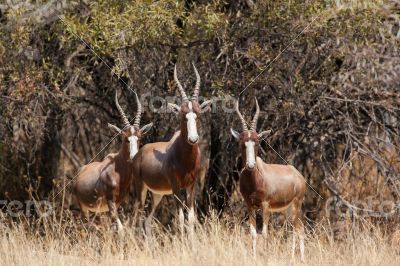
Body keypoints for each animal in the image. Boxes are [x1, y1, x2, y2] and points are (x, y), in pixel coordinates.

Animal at [72, 91, 153, 233]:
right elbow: (120, 229)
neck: (117, 169)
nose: (133, 157)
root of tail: (80, 171)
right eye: (125, 138)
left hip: (98, 210)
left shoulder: (119, 201)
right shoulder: (111, 202)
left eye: (139, 138)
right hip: (84, 208)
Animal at [131, 63, 212, 236]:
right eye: (183, 116)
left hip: (157, 194)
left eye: (198, 115)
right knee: (139, 217)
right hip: (141, 190)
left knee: (147, 220)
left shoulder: (191, 186)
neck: (185, 159)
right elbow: (180, 217)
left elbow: (191, 217)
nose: (193, 139)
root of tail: (138, 154)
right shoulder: (175, 188)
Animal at [231, 98, 306, 260]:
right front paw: (254, 258)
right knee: (295, 228)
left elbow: (265, 233)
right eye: (241, 142)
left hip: (297, 205)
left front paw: (265, 257)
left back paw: (300, 259)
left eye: (257, 142)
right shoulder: (249, 205)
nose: (250, 165)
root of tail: (298, 175)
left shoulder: (265, 206)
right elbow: (253, 233)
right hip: (287, 209)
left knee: (299, 228)